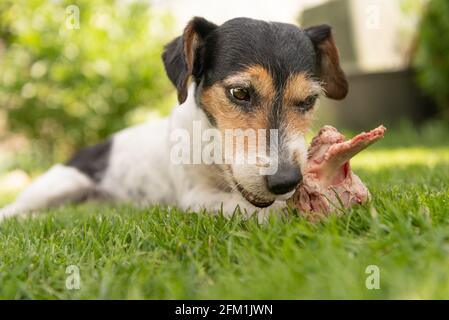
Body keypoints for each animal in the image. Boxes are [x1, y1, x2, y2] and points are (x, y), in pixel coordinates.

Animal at [0, 16, 346, 221]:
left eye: (309, 100)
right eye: (239, 92)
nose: (285, 181)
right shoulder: (196, 196)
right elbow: (256, 209)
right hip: (58, 184)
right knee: (16, 209)